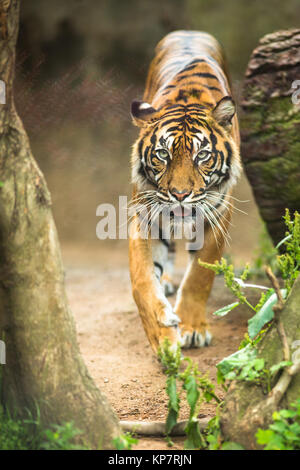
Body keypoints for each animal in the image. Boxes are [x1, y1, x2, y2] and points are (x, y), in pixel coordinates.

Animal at [129, 30, 241, 352]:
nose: (179, 195)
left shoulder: (218, 216)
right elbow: (142, 279)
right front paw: (161, 335)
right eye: (162, 154)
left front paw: (191, 328)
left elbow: (200, 275)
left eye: (201, 155)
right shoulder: (145, 216)